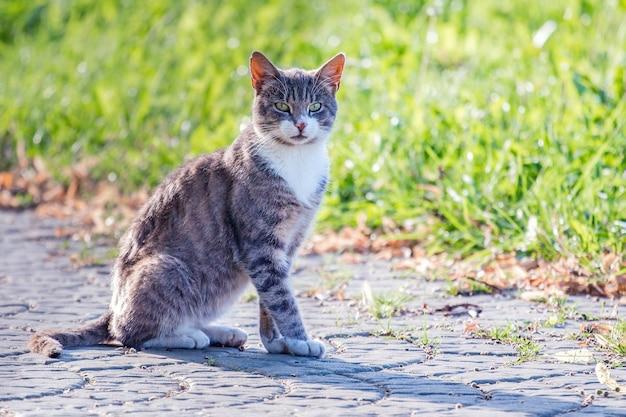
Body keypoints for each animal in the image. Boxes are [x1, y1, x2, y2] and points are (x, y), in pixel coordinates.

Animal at [28, 51, 346, 358]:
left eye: (315, 106)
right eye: (282, 105)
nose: (301, 124)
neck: (296, 160)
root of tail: (112, 311)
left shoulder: (289, 244)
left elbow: (270, 301)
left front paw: (279, 343)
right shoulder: (261, 247)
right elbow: (282, 300)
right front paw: (299, 341)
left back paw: (219, 332)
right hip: (166, 268)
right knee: (129, 335)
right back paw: (189, 337)